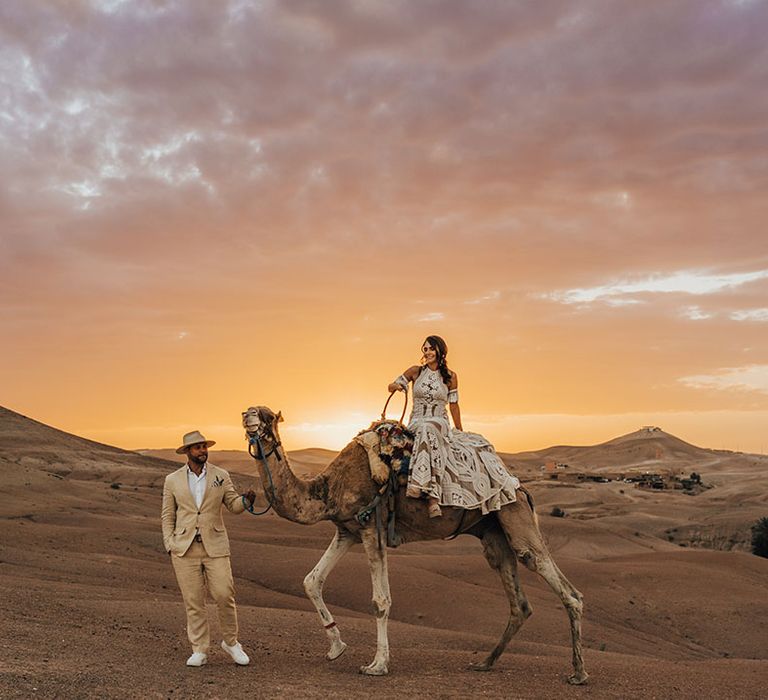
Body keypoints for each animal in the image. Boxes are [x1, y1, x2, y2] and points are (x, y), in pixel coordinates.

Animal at [242, 404, 588, 684]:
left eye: (268, 416)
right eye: (252, 408)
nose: (247, 415)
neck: (327, 489)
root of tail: (521, 487)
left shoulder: (372, 527)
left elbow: (380, 601)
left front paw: (377, 665)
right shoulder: (347, 530)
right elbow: (311, 581)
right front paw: (337, 647)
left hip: (515, 516)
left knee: (561, 585)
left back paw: (578, 673)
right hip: (493, 533)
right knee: (519, 602)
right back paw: (485, 663)